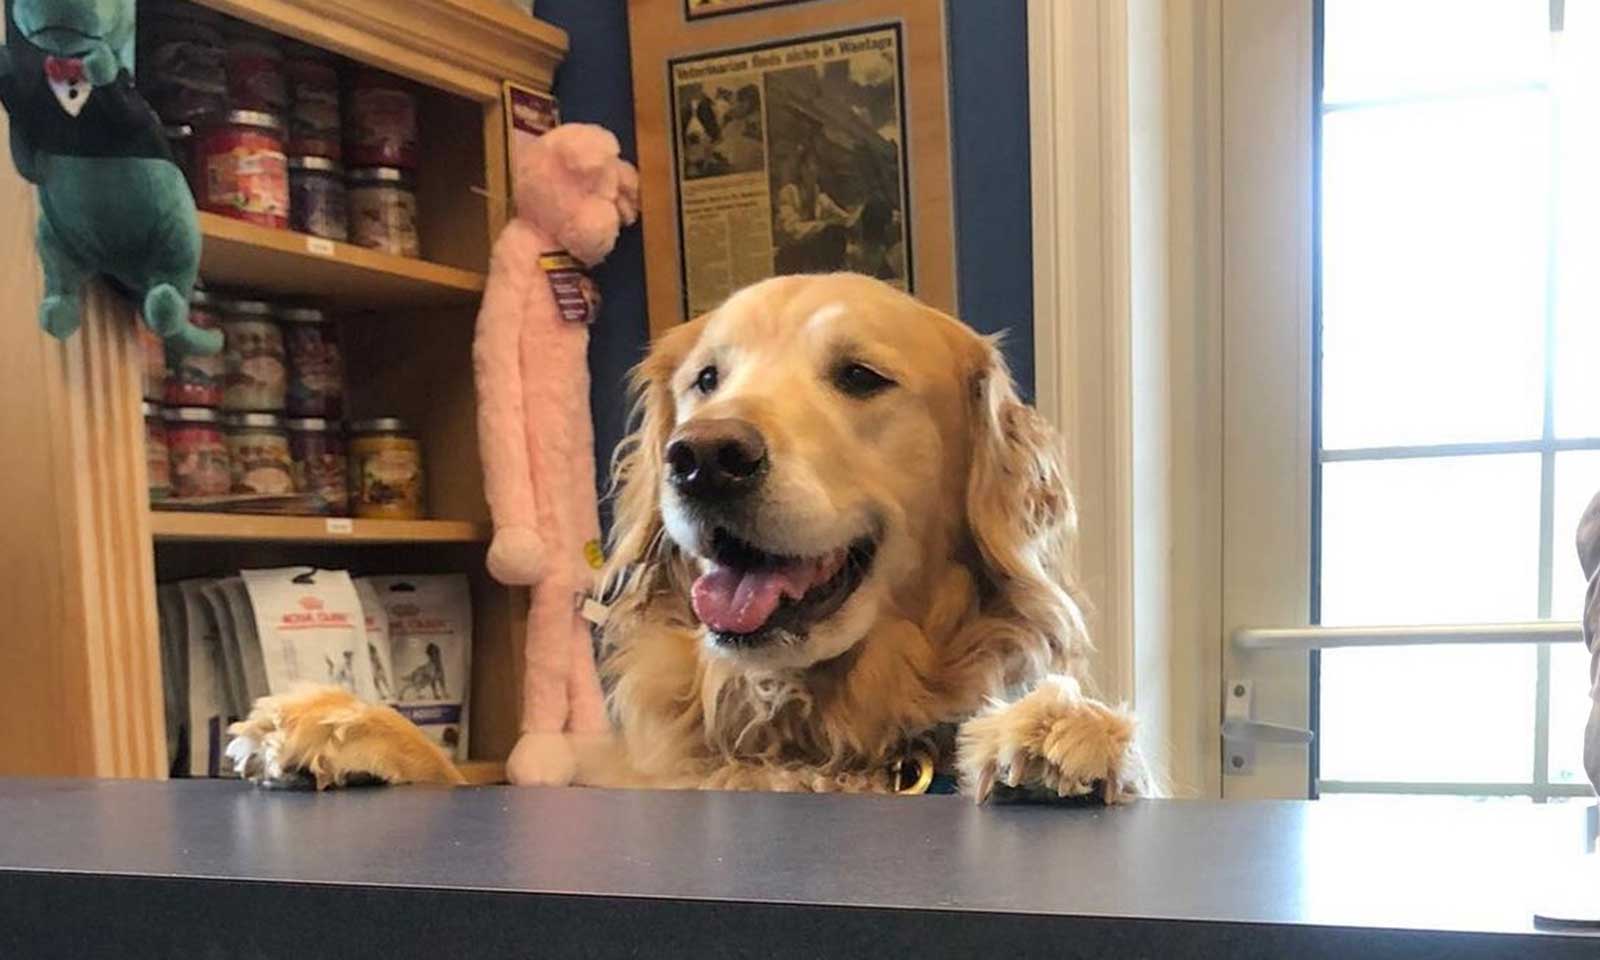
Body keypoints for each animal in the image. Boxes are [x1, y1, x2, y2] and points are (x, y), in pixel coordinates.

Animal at [228, 272, 1152, 803]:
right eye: (707, 378)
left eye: (860, 376)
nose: (704, 457)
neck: (794, 719)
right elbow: (457, 774)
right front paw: (343, 727)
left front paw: (1059, 728)